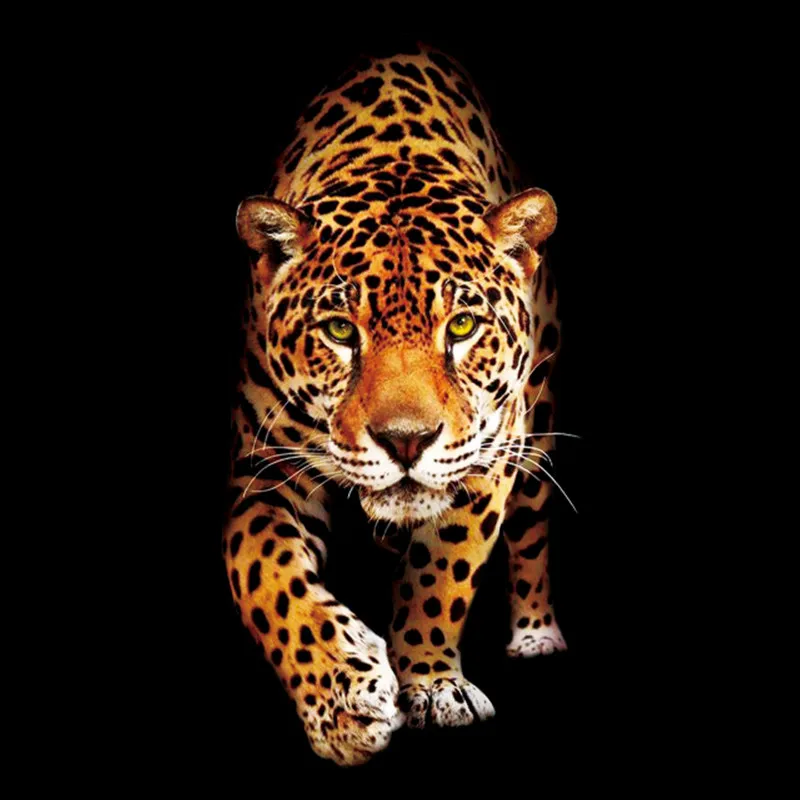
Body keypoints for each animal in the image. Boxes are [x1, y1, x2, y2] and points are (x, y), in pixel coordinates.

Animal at [222, 41, 568, 766]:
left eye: (461, 326)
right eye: (339, 330)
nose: (406, 440)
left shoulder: (488, 455)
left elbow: (441, 574)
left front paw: (433, 685)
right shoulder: (263, 471)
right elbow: (266, 576)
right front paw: (344, 702)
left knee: (531, 528)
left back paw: (535, 634)